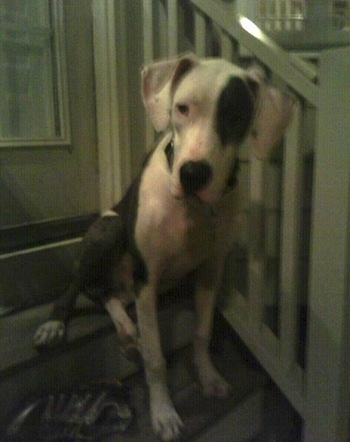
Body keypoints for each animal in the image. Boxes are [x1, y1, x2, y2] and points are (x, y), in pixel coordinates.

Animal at [34, 53, 294, 440]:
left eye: (235, 116)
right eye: (182, 108)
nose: (193, 175)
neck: (193, 210)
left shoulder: (210, 271)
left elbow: (202, 332)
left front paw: (209, 376)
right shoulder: (148, 277)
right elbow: (155, 358)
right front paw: (164, 413)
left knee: (109, 294)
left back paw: (128, 331)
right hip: (109, 231)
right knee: (80, 285)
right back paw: (57, 324)